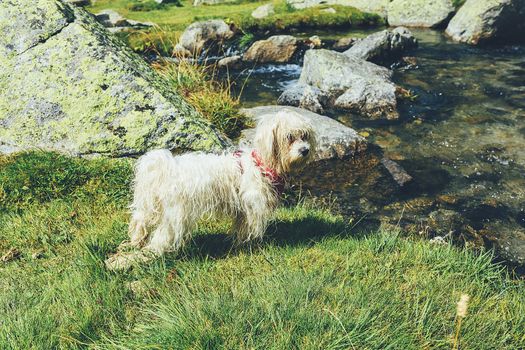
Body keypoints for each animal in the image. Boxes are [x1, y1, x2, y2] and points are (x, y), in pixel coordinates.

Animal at [123, 108, 314, 256]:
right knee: (163, 233)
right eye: (289, 137)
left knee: (140, 220)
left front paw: (239, 244)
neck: (262, 164)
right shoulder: (255, 205)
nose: (305, 150)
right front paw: (253, 245)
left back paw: (136, 242)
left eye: (304, 136)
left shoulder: (243, 209)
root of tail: (167, 168)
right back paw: (156, 251)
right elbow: (253, 228)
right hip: (176, 212)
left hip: (149, 205)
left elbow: (242, 228)